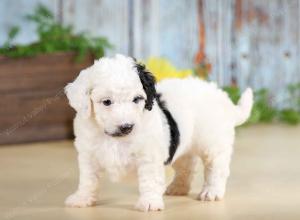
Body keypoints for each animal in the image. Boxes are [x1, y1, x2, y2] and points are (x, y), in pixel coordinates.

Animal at [63, 53, 253, 211]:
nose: (127, 126)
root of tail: (223, 97)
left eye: (137, 99)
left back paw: (211, 191)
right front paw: (82, 198)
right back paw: (178, 188)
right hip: (183, 145)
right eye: (107, 102)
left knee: (216, 167)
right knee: (187, 165)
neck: (116, 138)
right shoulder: (88, 155)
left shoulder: (149, 156)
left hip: (213, 142)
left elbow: (149, 180)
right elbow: (88, 180)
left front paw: (149, 202)